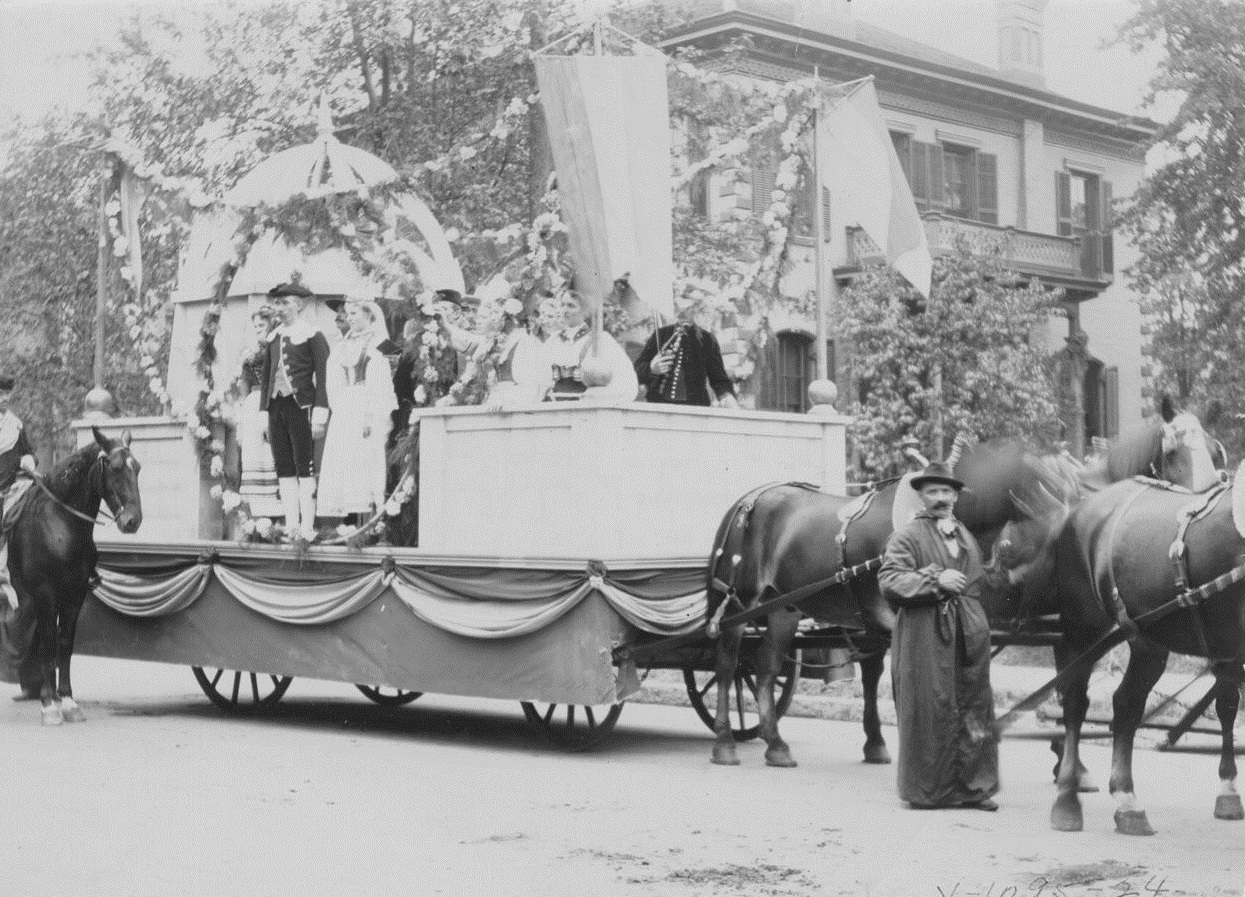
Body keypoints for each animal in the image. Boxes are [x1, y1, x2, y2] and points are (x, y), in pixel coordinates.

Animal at [2, 426, 141, 722]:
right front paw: (48, 704)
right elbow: (47, 643)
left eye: (137, 467)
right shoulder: (44, 593)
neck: (60, 524)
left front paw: (66, 700)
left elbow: (64, 644)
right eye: (114, 467)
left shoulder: (75, 593)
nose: (132, 521)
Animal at [707, 398, 1220, 772]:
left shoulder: (1062, 627)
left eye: (1213, 451)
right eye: (1175, 451)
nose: (1206, 503)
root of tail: (751, 500)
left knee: (768, 668)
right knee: (730, 662)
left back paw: (779, 743)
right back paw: (727, 741)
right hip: (741, 602)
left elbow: (1067, 687)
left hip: (782, 608)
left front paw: (1066, 762)